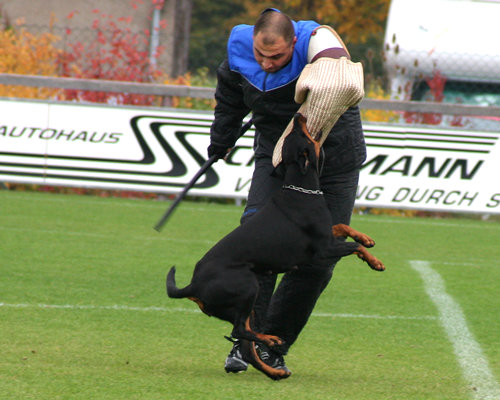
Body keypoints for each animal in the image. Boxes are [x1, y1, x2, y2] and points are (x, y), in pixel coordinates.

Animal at [166, 113, 384, 382]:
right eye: (300, 135)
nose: (299, 115)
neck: (300, 188)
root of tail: (193, 285)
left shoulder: (327, 235)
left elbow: (343, 226)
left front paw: (366, 238)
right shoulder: (322, 250)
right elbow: (353, 247)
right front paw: (375, 261)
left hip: (243, 305)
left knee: (247, 345)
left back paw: (273, 370)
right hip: (249, 286)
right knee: (240, 331)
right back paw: (271, 339)